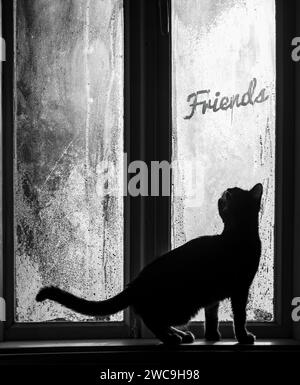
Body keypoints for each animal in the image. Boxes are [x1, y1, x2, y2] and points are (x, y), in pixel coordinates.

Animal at [35, 183, 262, 344]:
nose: (222, 193)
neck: (237, 233)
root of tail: (134, 283)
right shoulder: (241, 289)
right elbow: (239, 316)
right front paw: (244, 337)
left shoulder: (213, 296)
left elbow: (212, 316)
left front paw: (213, 336)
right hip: (182, 305)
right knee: (151, 319)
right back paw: (172, 338)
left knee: (159, 320)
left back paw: (181, 335)